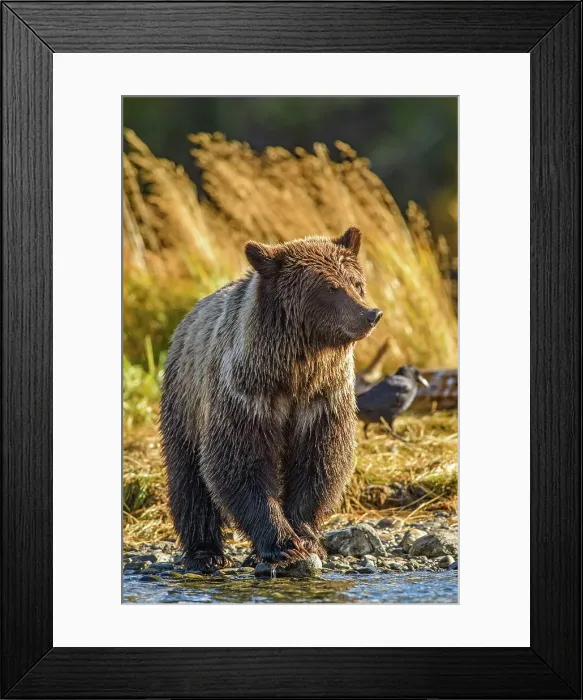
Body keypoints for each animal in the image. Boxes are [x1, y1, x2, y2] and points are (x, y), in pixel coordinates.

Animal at [160, 227, 382, 572]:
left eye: (356, 282)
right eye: (330, 287)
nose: (371, 314)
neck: (296, 372)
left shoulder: (322, 400)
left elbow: (319, 462)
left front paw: (306, 539)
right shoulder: (247, 397)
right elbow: (240, 463)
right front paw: (283, 544)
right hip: (185, 401)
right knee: (189, 478)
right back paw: (205, 553)